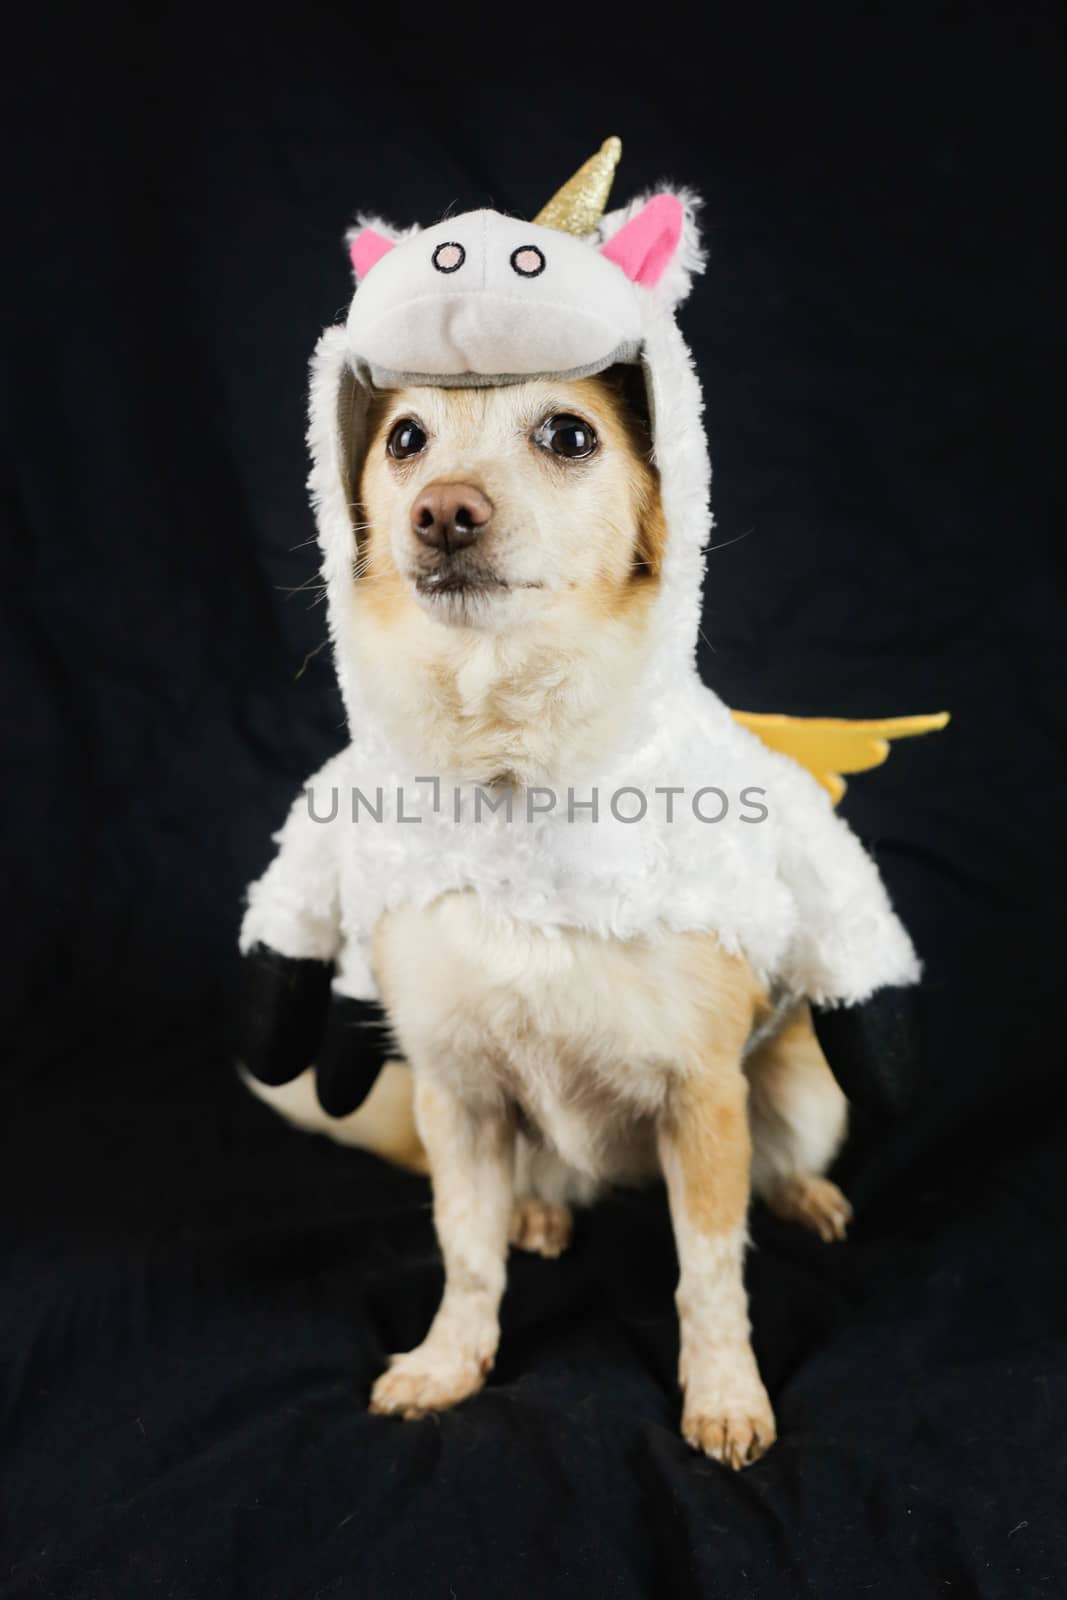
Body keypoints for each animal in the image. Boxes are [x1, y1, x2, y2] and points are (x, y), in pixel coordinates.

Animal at [244, 368, 851, 1465]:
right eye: (404, 439)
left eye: (569, 435)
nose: (441, 510)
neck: (512, 791)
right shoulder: (455, 1099)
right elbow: (465, 1254)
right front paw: (449, 1361)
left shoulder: (704, 1102)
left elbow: (709, 1273)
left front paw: (724, 1392)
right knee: (524, 1201)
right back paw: (537, 1214)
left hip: (805, 1096)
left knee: (774, 1166)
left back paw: (801, 1194)